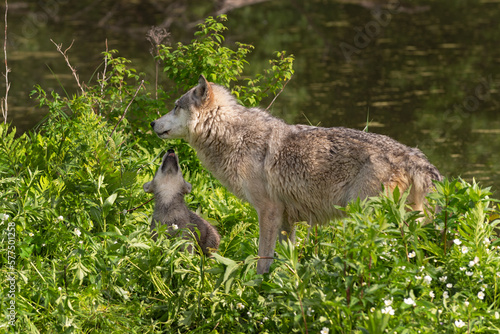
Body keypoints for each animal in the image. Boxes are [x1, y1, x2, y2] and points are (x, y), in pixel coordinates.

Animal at [149, 76, 442, 274]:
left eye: (175, 106)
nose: (152, 123)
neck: (234, 136)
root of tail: (412, 155)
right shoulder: (287, 219)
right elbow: (285, 260)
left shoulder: (268, 211)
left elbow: (263, 258)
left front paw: (256, 287)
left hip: (368, 219)